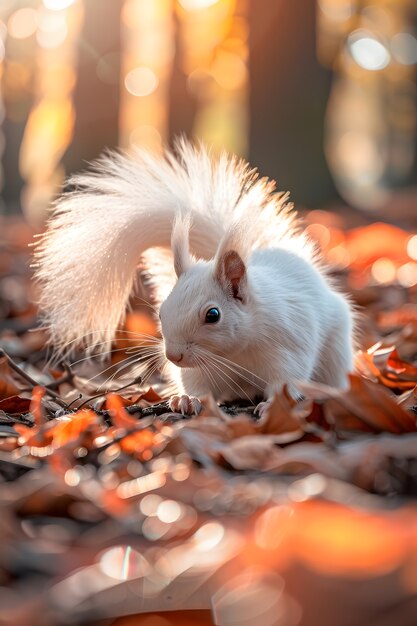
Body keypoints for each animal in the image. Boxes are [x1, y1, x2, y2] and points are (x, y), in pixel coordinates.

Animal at [35, 138, 354, 412]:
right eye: (161, 312)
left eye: (213, 315)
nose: (173, 356)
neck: (234, 354)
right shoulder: (204, 370)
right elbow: (198, 384)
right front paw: (188, 400)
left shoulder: (287, 348)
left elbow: (286, 381)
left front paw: (273, 405)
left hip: (336, 351)